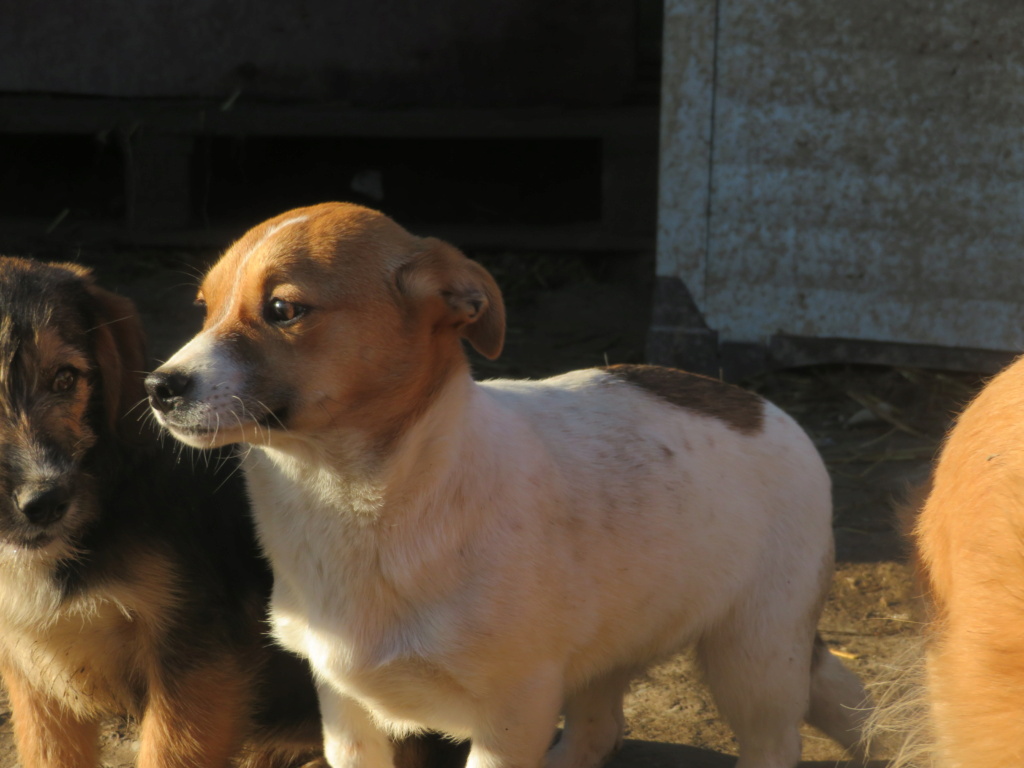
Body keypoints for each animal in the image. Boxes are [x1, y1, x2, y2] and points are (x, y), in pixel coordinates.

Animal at [146, 202, 872, 768]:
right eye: (205, 309)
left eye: (283, 308)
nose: (157, 387)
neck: (364, 501)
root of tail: (759, 405)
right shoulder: (344, 707)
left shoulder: (512, 711)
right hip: (608, 648)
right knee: (598, 730)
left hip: (755, 657)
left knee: (775, 742)